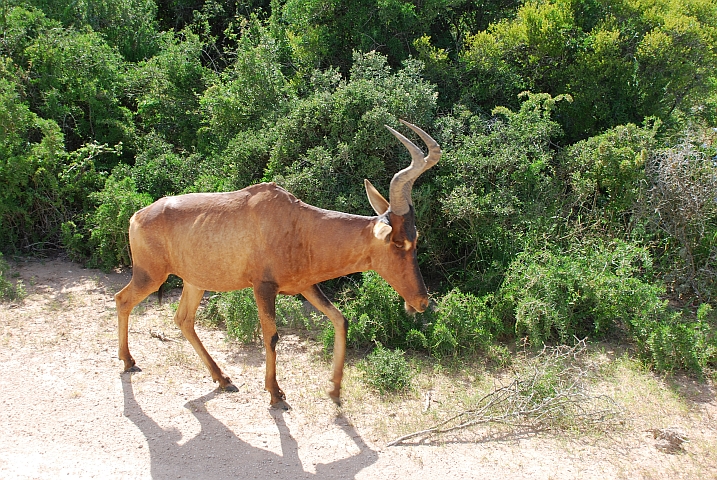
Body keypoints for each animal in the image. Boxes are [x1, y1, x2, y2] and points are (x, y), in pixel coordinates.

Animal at [114, 120, 440, 404]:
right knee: (122, 299)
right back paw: (128, 361)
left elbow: (340, 319)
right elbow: (271, 336)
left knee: (183, 319)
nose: (421, 302)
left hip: (195, 281)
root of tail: (136, 216)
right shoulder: (263, 288)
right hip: (150, 275)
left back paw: (223, 379)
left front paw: (334, 390)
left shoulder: (306, 287)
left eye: (416, 237)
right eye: (398, 242)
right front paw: (275, 393)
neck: (298, 223)